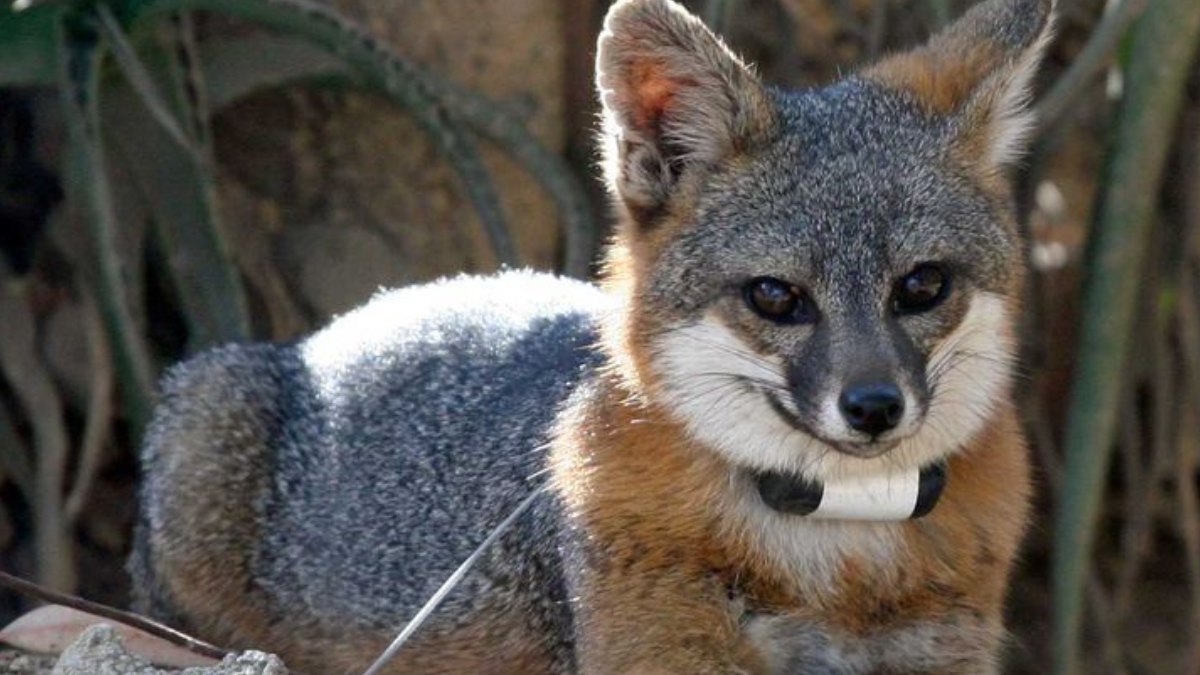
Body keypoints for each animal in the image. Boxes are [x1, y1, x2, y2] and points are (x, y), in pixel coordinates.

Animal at [131, 0, 1051, 667]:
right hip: (206, 412)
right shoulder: (658, 647)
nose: (874, 406)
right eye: (776, 297)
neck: (836, 557)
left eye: (922, 285)